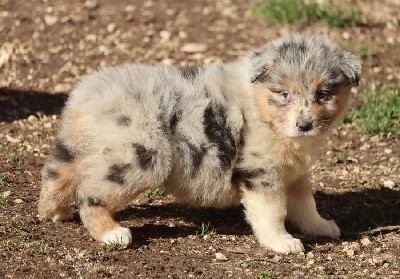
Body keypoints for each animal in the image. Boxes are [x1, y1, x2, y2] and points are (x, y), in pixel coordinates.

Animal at [39, 34, 360, 255]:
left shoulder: (294, 173)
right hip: (140, 158)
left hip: (91, 151)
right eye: (284, 94)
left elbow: (307, 203)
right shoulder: (262, 173)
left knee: (58, 174)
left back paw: (54, 212)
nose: (304, 126)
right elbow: (272, 212)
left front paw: (320, 226)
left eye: (323, 94)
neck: (262, 110)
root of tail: (86, 95)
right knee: (90, 195)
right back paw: (112, 233)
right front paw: (281, 242)